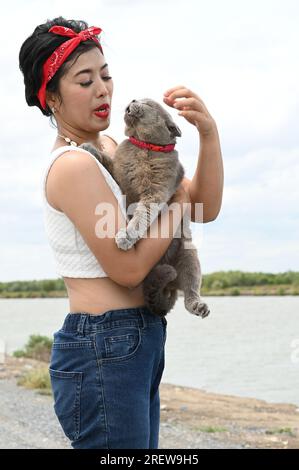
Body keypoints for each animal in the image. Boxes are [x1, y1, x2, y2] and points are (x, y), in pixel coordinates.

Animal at [80, 99, 211, 320]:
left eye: (147, 103)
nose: (133, 100)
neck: (143, 147)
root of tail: (169, 286)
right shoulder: (119, 176)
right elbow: (107, 160)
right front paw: (87, 147)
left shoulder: (155, 194)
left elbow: (142, 215)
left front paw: (126, 236)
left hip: (188, 254)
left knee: (190, 289)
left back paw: (199, 306)